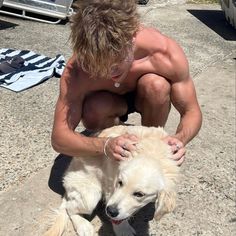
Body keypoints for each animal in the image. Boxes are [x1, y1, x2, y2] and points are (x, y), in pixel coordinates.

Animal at [44, 125, 179, 236]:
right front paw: (123, 231)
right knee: (69, 208)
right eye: (120, 183)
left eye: (139, 194)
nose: (110, 211)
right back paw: (84, 226)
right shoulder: (111, 186)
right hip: (90, 195)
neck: (152, 153)